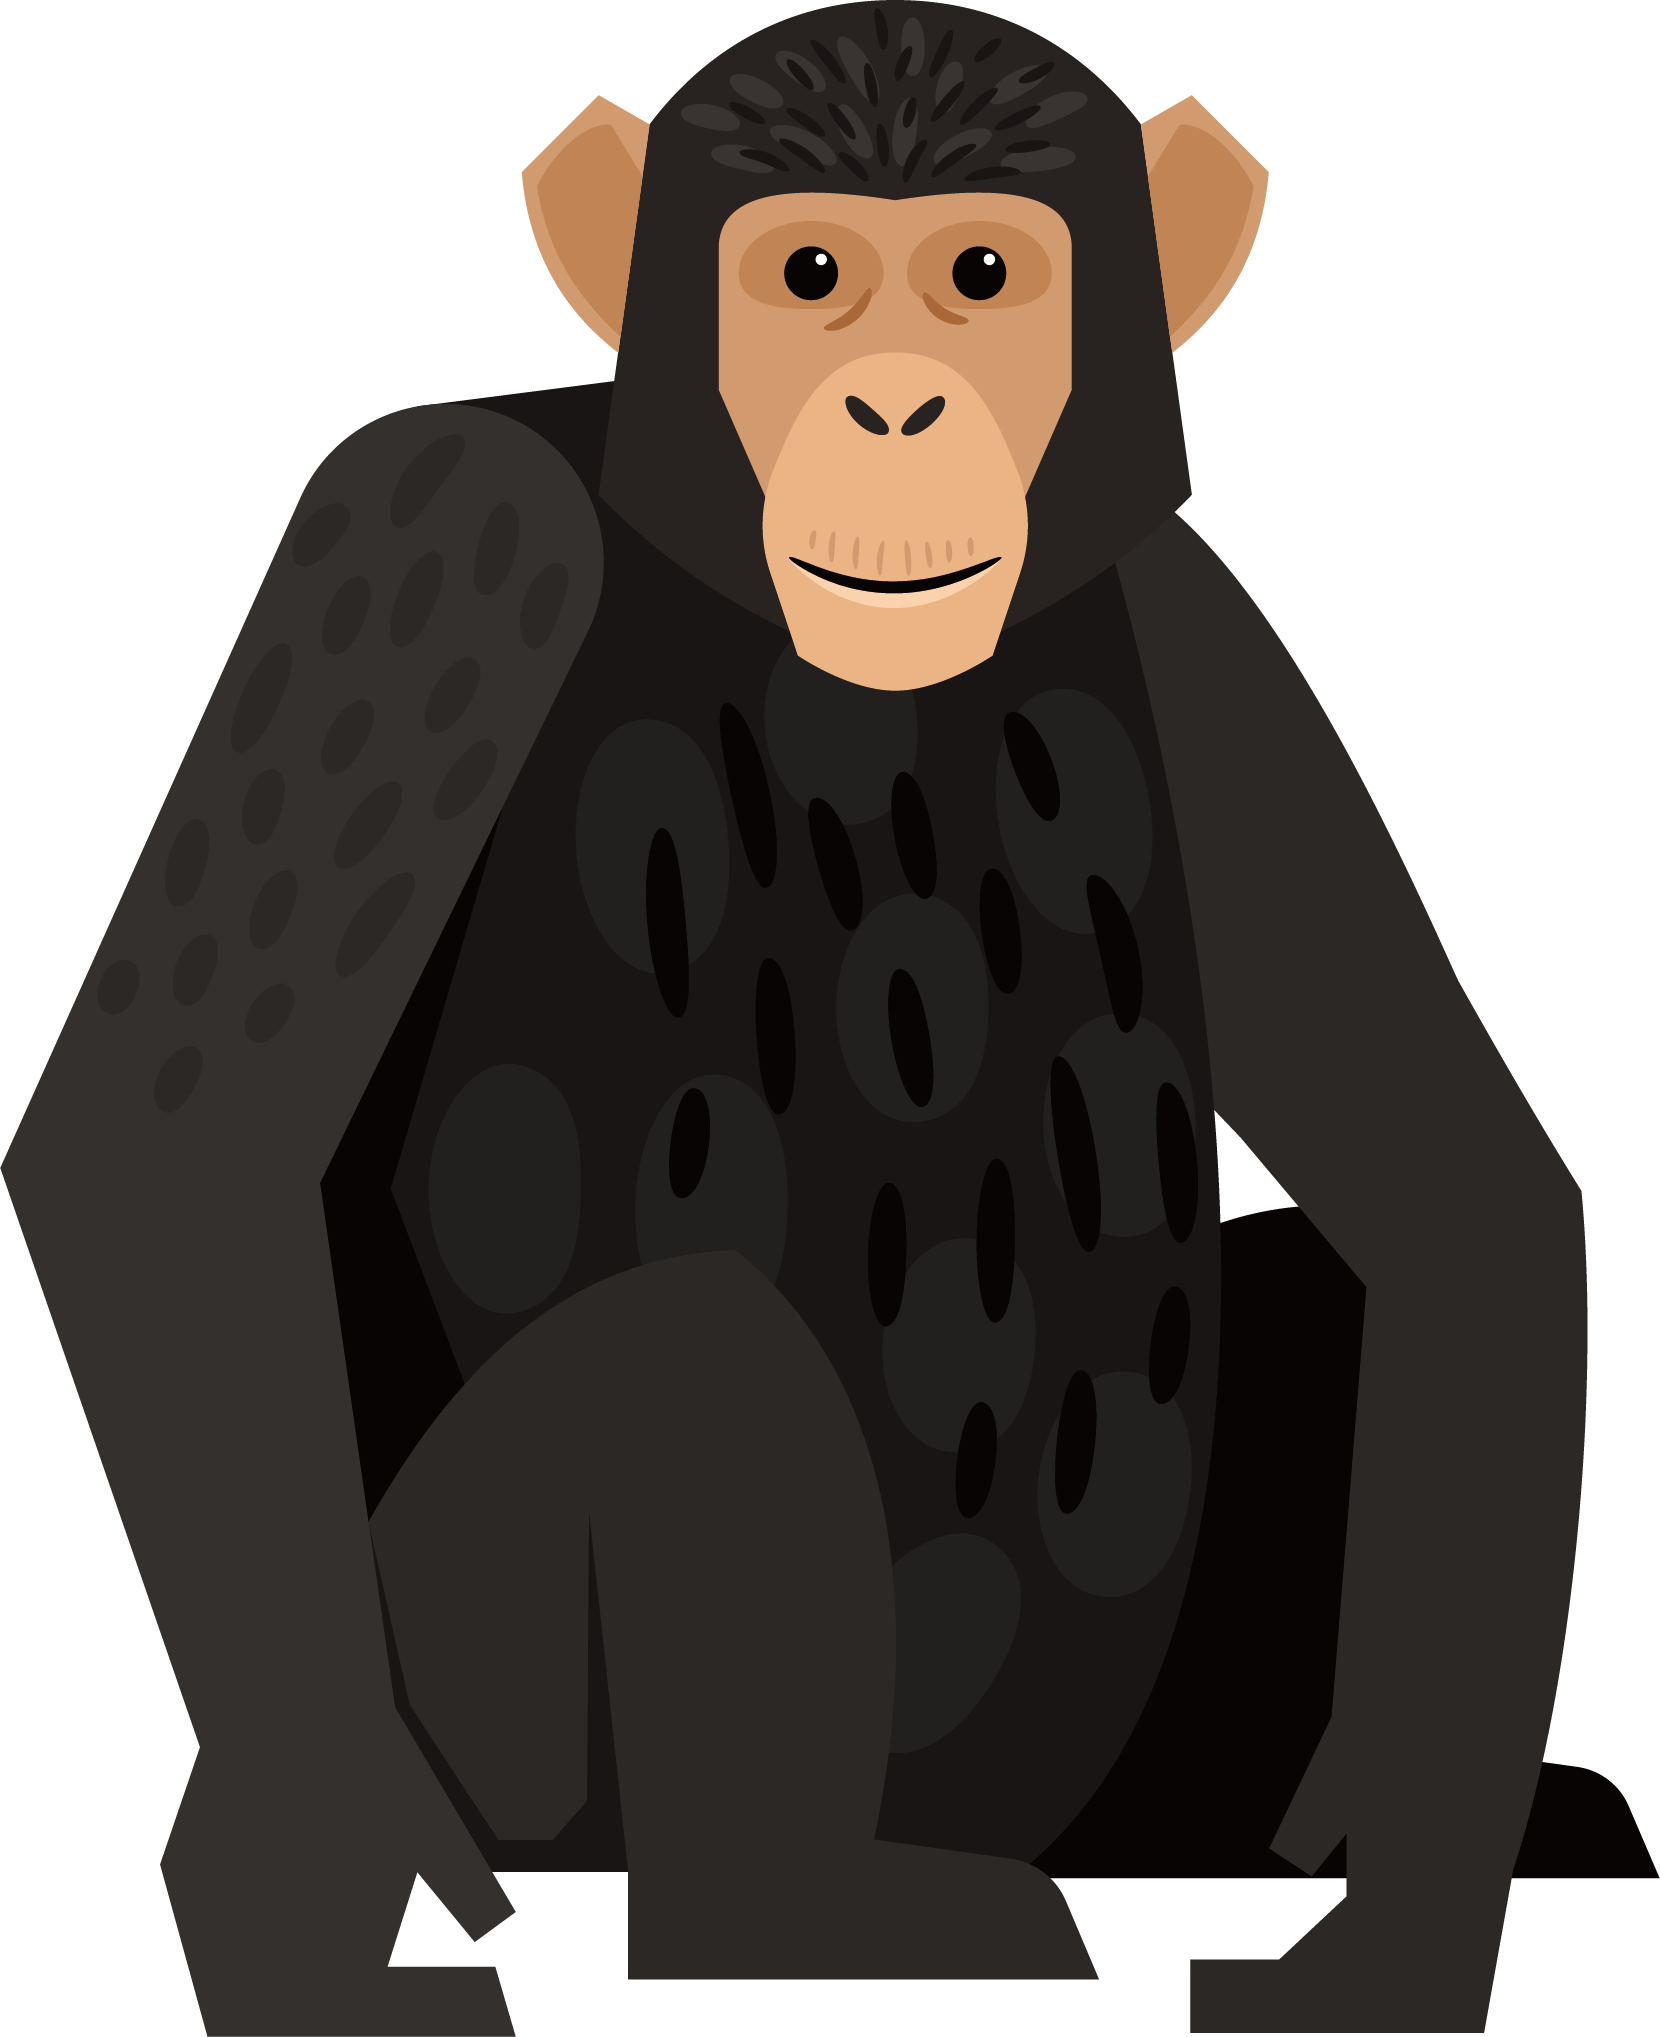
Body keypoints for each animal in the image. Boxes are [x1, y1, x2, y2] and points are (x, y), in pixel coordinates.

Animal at [2, 4, 1633, 2032]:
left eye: (985, 277)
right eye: (805, 279)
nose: (895, 408)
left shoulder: (1211, 638)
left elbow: (1456, 1190)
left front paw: (1413, 1901)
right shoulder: (436, 524)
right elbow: (170, 1145)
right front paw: (318, 1843)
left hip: (1108, 1776)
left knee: (1343, 1287)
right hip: (509, 1724)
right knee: (694, 1361)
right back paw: (754, 1906)